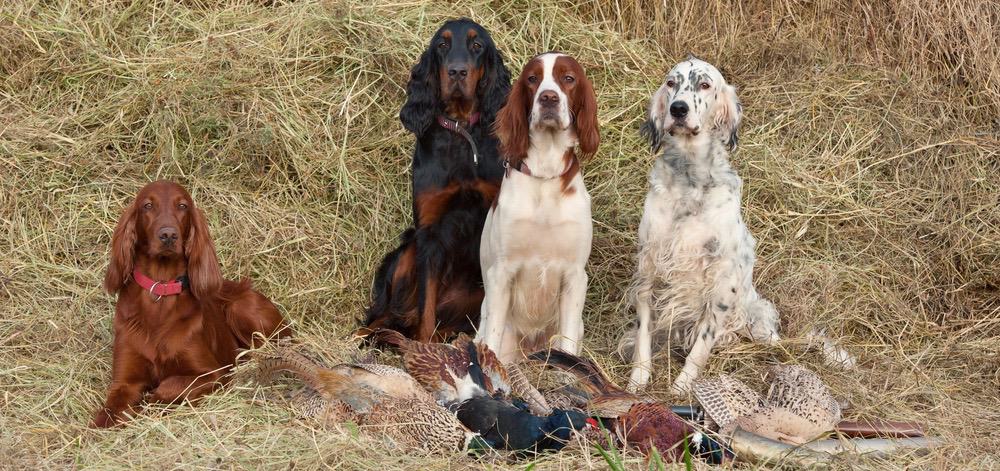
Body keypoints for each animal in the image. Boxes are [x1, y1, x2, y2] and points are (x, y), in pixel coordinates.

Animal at [616, 56, 780, 394]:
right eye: (671, 83)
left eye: (705, 84)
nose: (678, 108)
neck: (689, 179)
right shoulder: (649, 267)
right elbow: (642, 335)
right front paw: (638, 381)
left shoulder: (721, 281)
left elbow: (702, 345)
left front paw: (682, 387)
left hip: (758, 316)